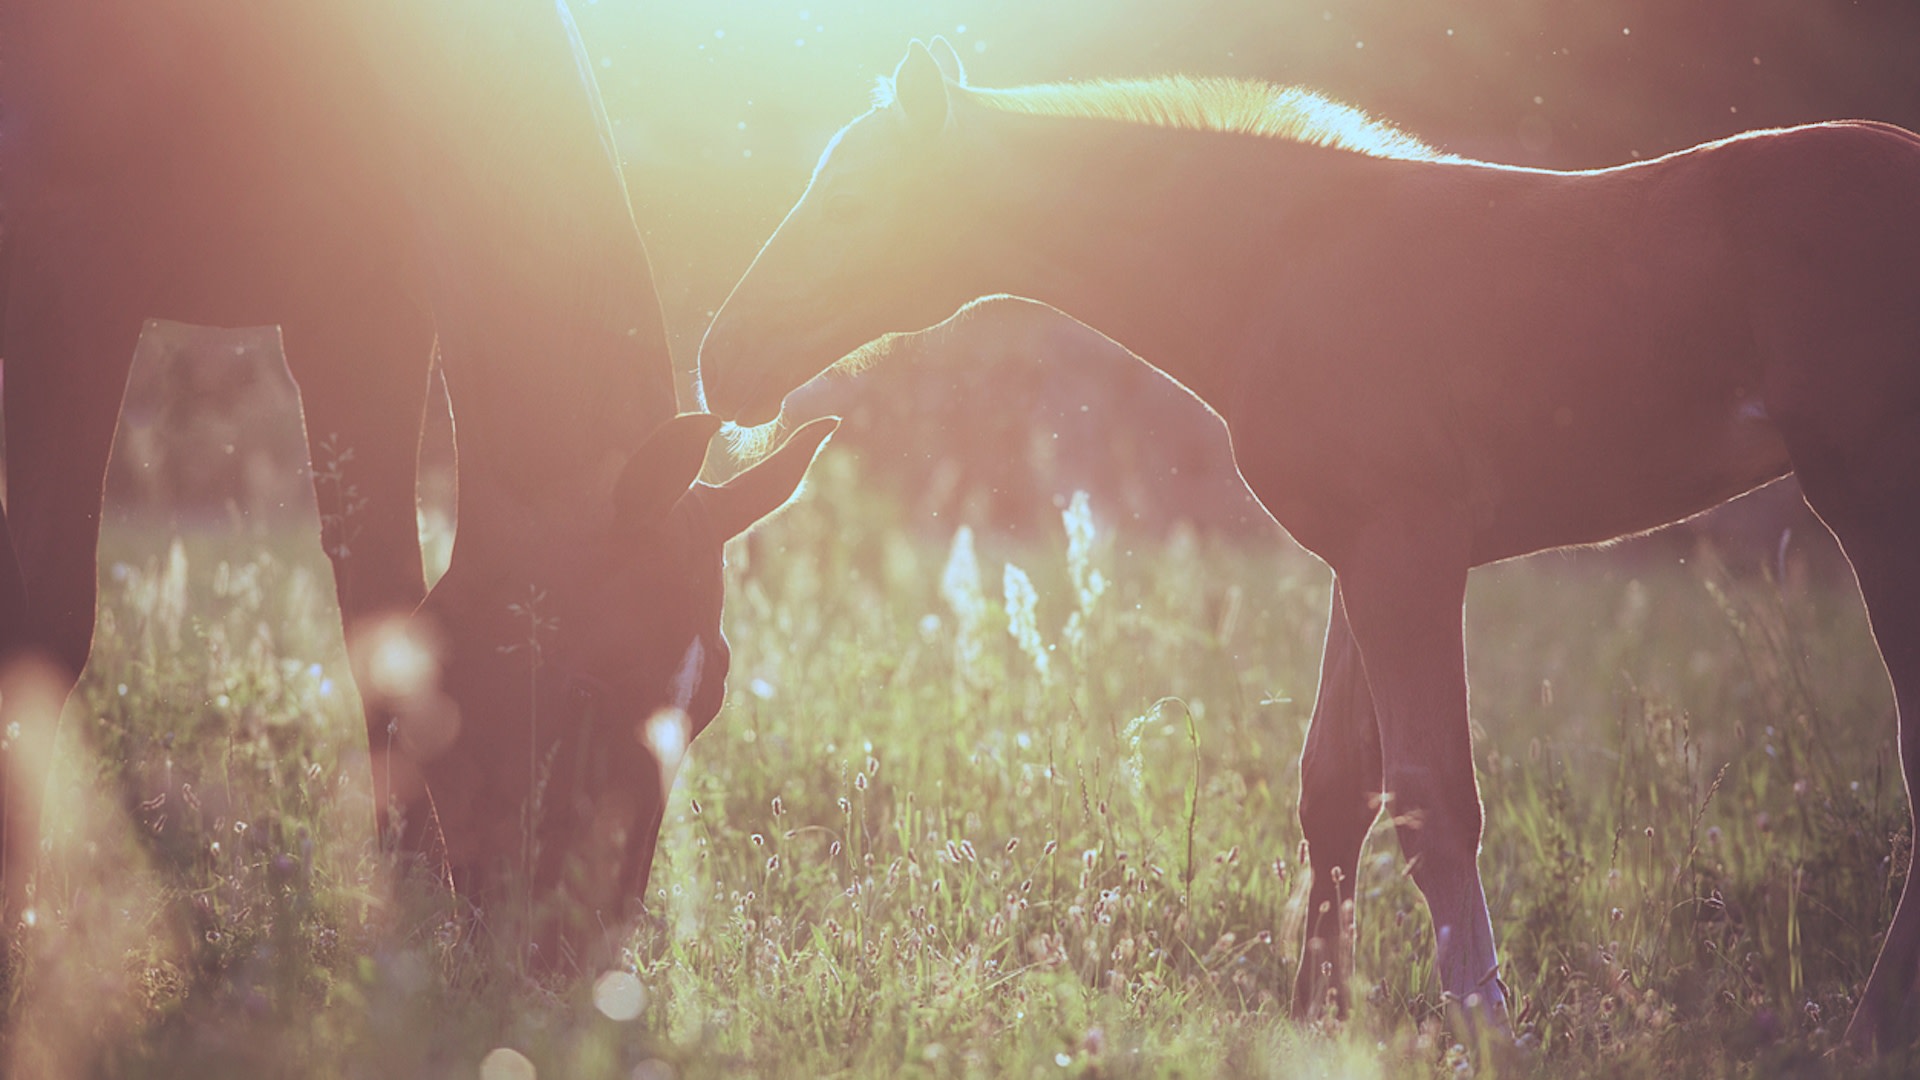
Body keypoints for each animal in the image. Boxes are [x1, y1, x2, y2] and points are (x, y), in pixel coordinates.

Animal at [1, 0, 840, 957]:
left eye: (712, 698)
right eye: (586, 687)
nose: (575, 957)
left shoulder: (361, 318)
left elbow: (384, 617)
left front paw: (403, 899)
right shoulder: (69, 284)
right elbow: (51, 626)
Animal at [698, 39, 1920, 1045]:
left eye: (854, 199)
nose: (722, 358)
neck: (1280, 268)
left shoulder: (1408, 553)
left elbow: (1433, 805)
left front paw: (1486, 1029)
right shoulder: (1361, 559)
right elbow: (1335, 791)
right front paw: (1312, 1024)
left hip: (1875, 502)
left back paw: (1866, 1034)